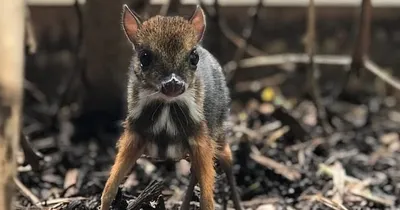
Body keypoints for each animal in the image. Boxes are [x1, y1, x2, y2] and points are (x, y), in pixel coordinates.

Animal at [100, 4, 244, 210]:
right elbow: (109, 188)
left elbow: (207, 199)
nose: (173, 84)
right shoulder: (134, 134)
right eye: (144, 57)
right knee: (196, 172)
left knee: (227, 160)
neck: (166, 109)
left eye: (193, 57)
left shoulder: (200, 137)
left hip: (219, 132)